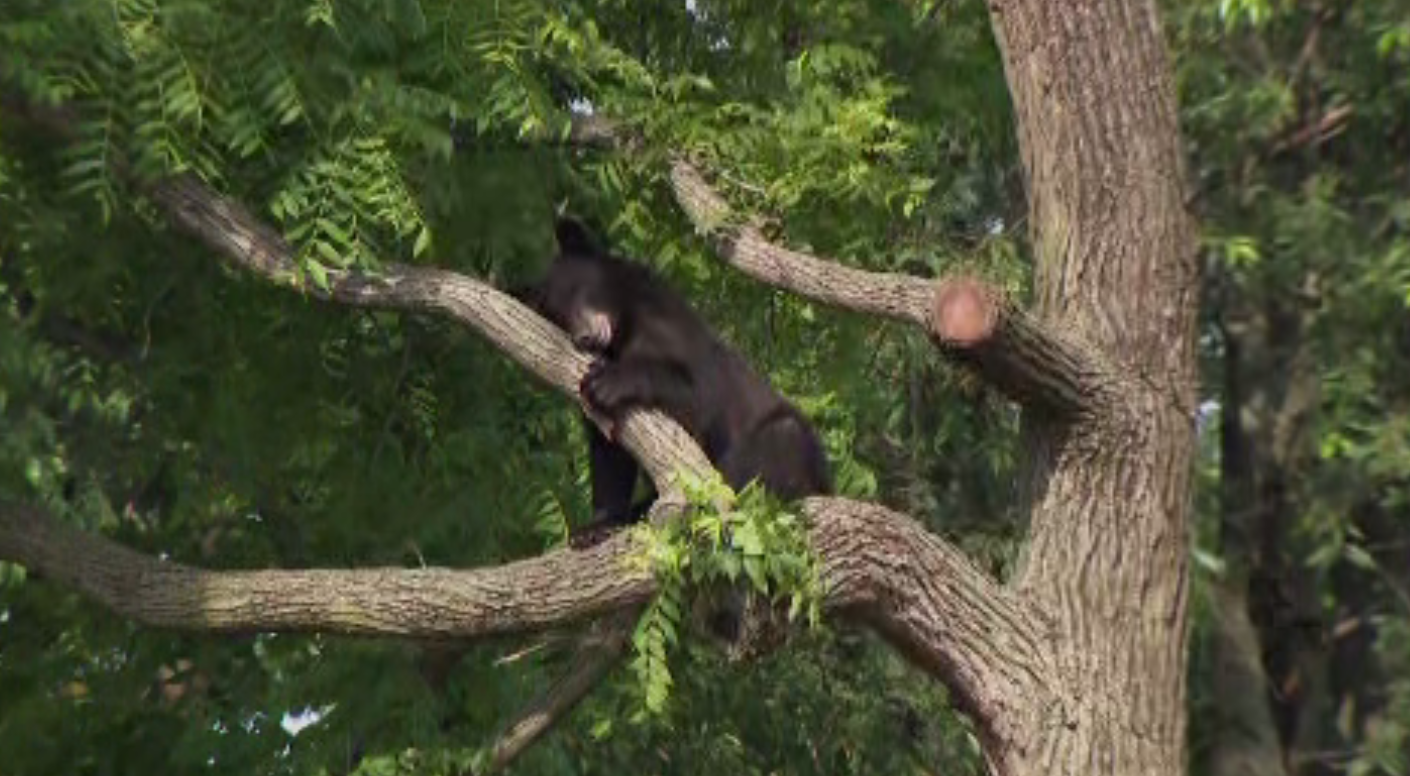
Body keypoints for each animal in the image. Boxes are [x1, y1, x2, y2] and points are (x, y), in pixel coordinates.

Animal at [516, 218, 823, 547]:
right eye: (556, 317)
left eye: (578, 291)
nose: (585, 337)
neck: (624, 331)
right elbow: (609, 448)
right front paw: (596, 526)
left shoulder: (677, 335)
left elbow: (698, 402)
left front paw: (607, 383)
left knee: (775, 442)